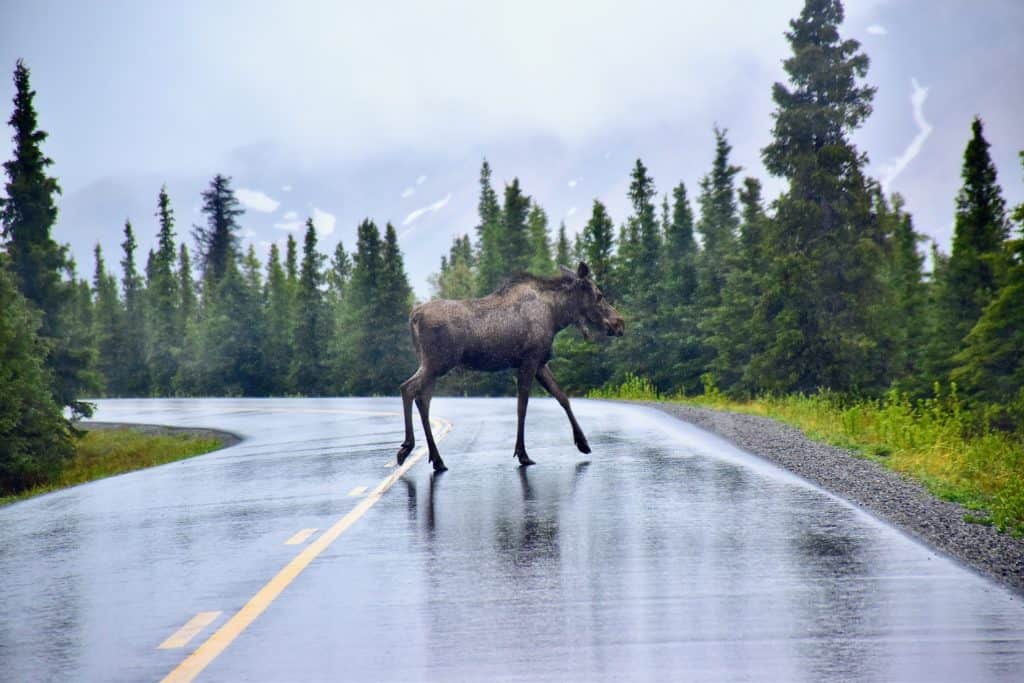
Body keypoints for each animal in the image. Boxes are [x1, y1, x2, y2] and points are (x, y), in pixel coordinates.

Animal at [397, 262, 622, 471]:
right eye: (599, 295)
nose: (619, 323)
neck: (557, 315)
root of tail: (413, 317)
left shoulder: (540, 363)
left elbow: (562, 397)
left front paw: (583, 442)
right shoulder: (529, 360)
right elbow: (522, 406)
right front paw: (522, 454)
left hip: (430, 365)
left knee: (421, 398)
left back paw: (434, 458)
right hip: (438, 363)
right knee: (408, 388)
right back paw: (409, 448)